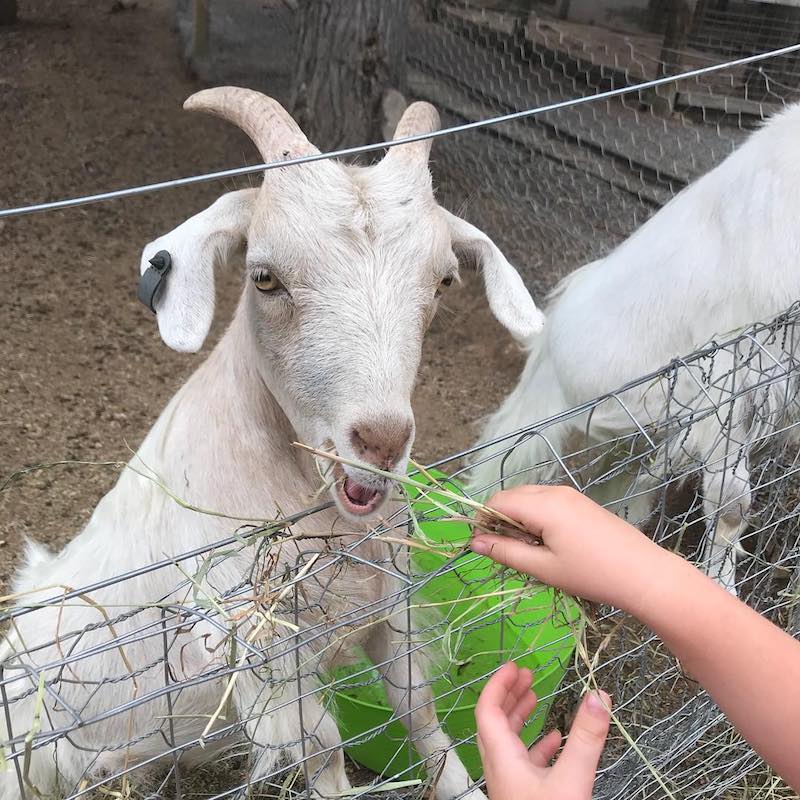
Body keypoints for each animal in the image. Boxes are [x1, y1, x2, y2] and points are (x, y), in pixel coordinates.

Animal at [1, 87, 544, 800]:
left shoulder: (389, 607)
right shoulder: (266, 657)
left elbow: (420, 709)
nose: (380, 441)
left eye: (444, 281)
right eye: (263, 277)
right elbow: (325, 754)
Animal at [472, 103, 800, 592]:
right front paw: (719, 587)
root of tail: (546, 333)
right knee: (496, 478)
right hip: (535, 428)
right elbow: (729, 503)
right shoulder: (731, 378)